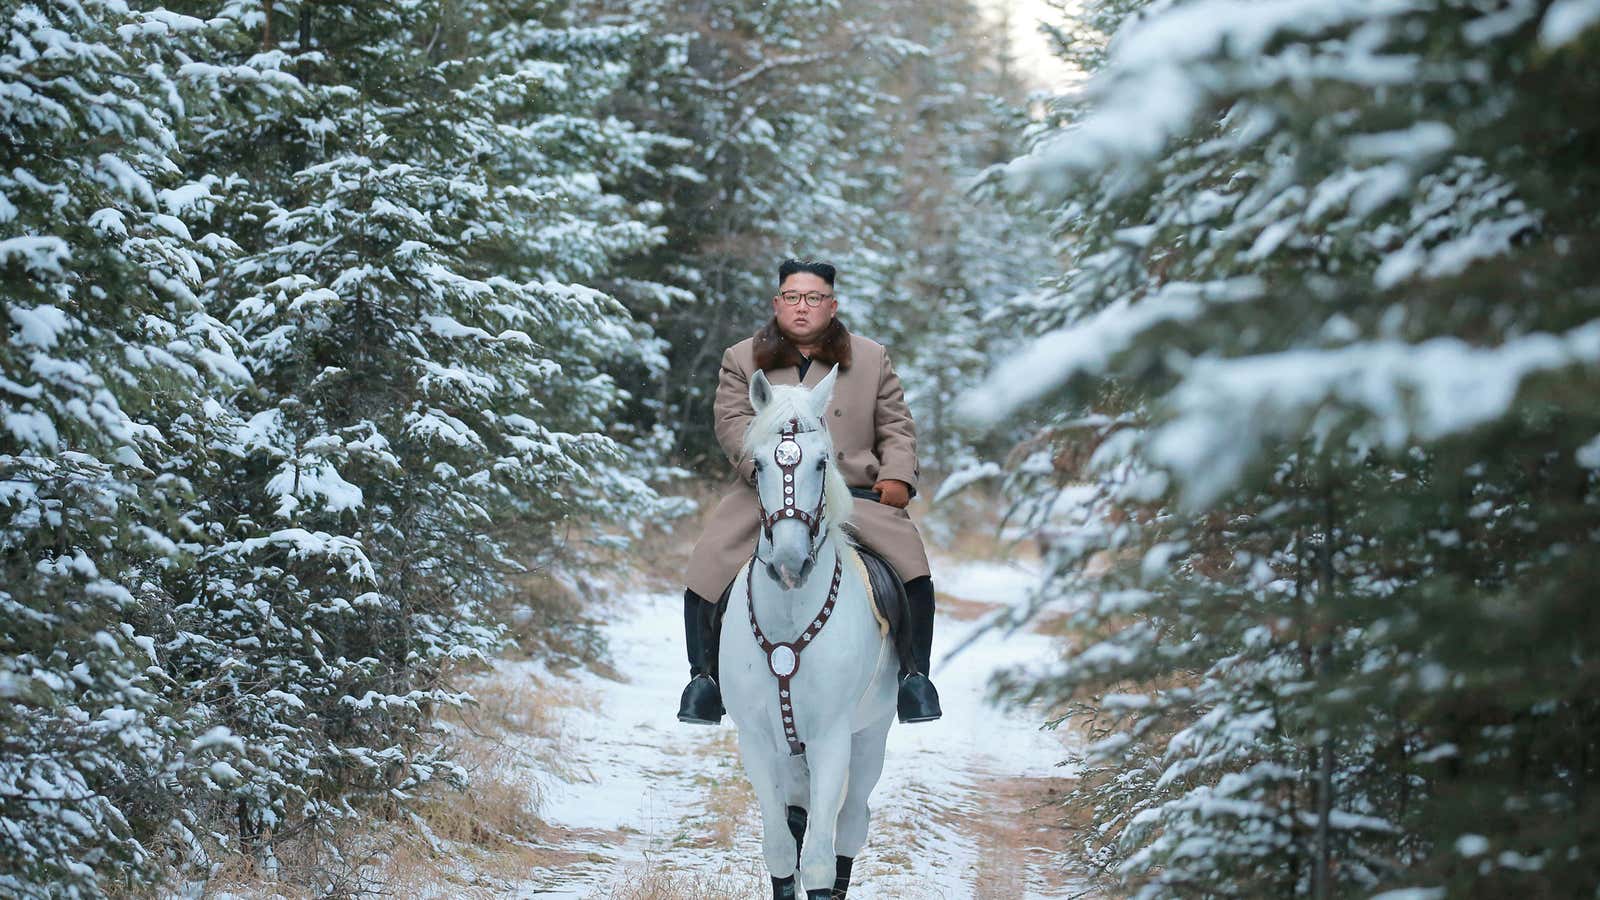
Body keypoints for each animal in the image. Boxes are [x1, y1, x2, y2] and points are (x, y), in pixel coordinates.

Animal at [723, 365, 902, 896]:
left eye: (823, 463)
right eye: (759, 465)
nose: (790, 563)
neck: (789, 616)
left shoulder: (831, 739)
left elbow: (821, 859)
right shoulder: (757, 741)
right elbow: (782, 848)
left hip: (870, 737)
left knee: (851, 824)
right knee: (798, 819)